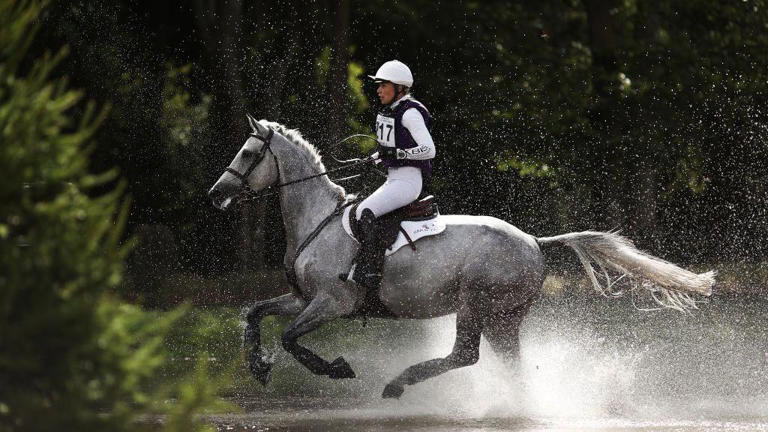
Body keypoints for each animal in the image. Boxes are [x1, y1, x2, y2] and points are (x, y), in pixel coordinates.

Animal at [207, 115, 715, 399]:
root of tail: (535, 241)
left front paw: (334, 368)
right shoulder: (302, 297)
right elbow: (254, 313)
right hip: (505, 316)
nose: (216, 194)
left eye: (249, 153)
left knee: (465, 355)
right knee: (505, 363)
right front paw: (258, 367)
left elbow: (292, 338)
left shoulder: (332, 303)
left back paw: (399, 383)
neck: (318, 220)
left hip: (477, 303)